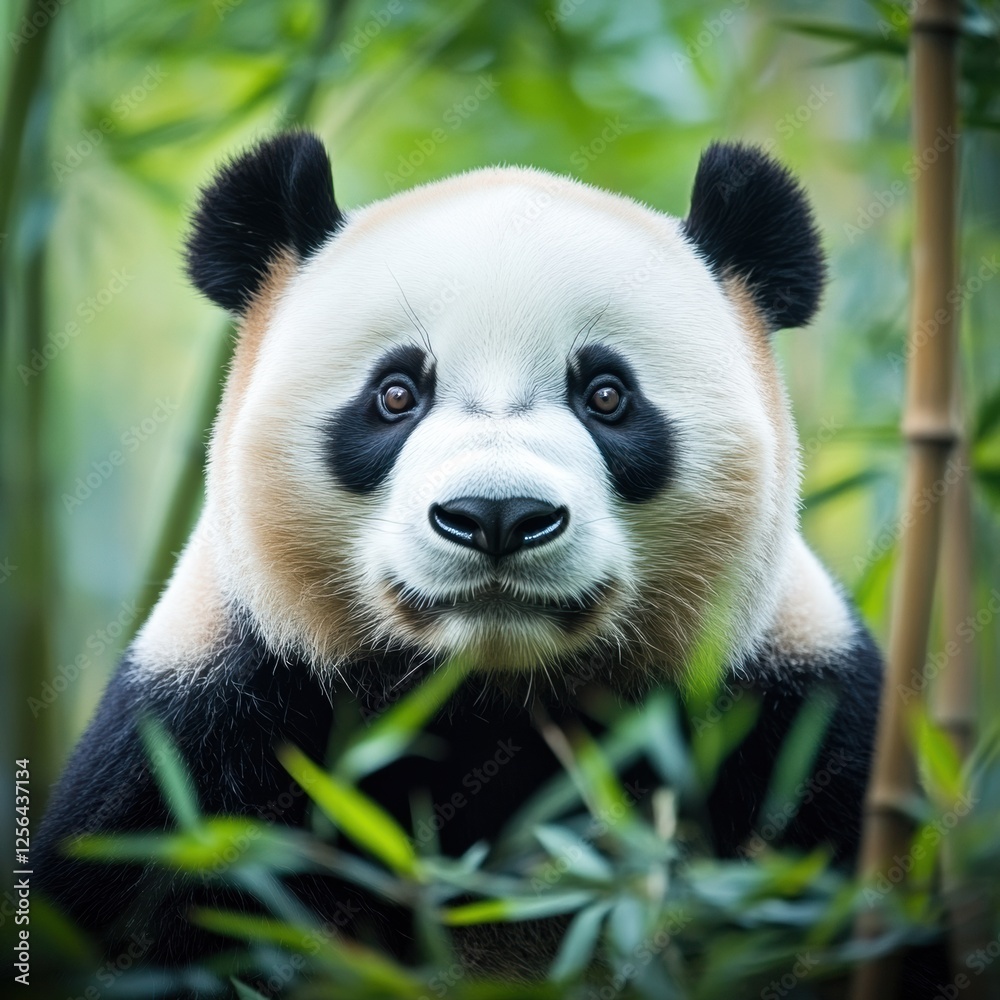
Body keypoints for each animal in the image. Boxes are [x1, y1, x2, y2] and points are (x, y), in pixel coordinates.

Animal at [37, 131, 883, 981]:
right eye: (396, 394)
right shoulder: (209, 732)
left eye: (607, 396)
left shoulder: (792, 716)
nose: (497, 516)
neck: (489, 694)